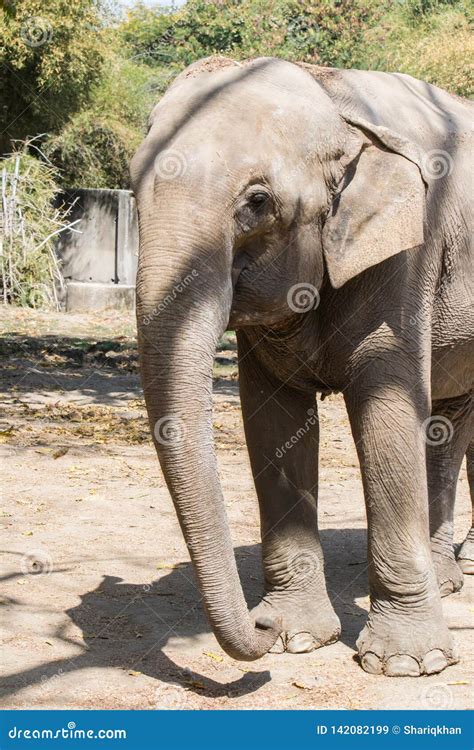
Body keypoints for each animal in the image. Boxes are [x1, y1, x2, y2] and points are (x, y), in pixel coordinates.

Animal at [131, 57, 474, 680]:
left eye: (257, 202)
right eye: (133, 188)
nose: (259, 626)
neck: (333, 95)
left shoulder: (407, 252)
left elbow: (387, 411)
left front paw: (407, 664)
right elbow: (272, 420)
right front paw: (296, 637)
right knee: (450, 424)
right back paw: (447, 582)